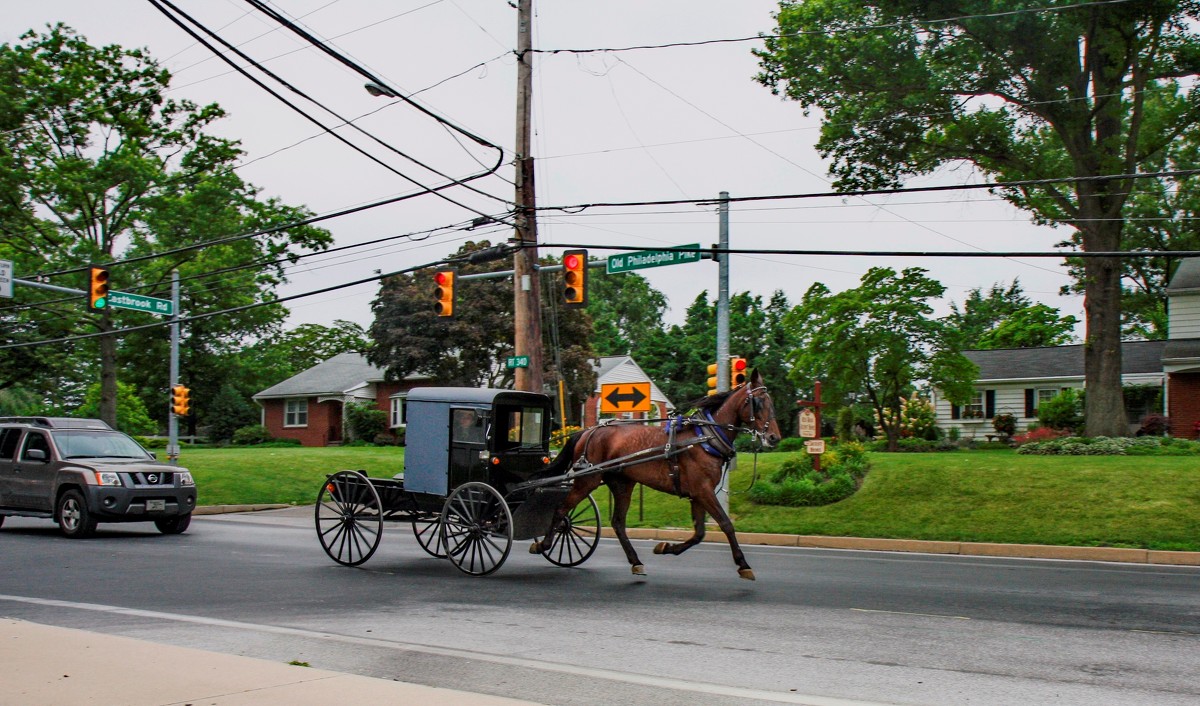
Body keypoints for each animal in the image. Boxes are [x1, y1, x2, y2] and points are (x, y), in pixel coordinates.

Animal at [532, 369, 777, 578]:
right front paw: (743, 564)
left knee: (618, 522)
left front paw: (666, 547)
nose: (774, 437)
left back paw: (635, 561)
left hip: (622, 483)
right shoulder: (703, 491)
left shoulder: (697, 494)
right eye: (758, 402)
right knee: (561, 509)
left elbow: (699, 533)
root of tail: (587, 431)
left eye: (771, 402)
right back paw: (543, 544)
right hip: (587, 480)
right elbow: (726, 524)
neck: (705, 437)